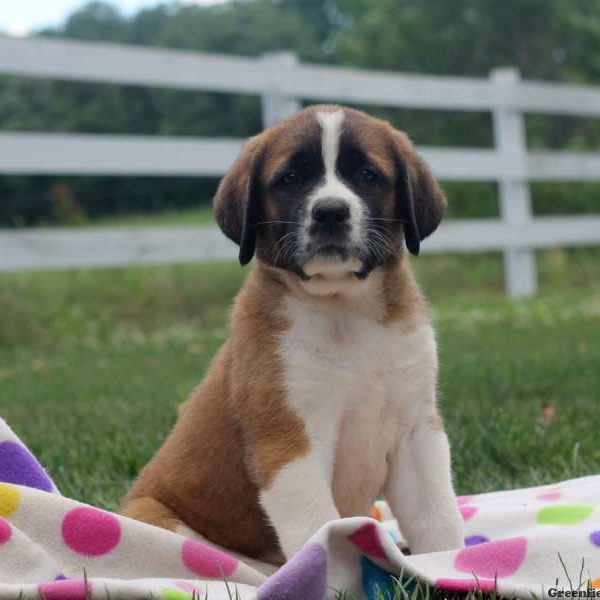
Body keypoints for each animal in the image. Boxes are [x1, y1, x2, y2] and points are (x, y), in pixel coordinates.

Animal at [122, 104, 466, 572]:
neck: (345, 309)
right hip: (159, 520)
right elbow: (319, 527)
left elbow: (438, 515)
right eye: (289, 179)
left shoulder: (417, 431)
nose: (331, 212)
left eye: (367, 174)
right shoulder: (290, 441)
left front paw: (448, 566)